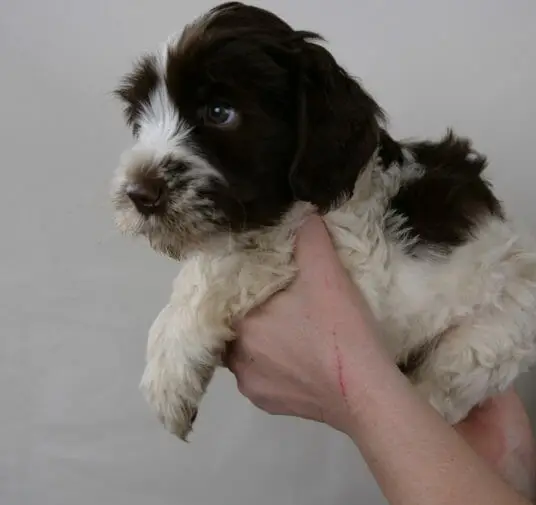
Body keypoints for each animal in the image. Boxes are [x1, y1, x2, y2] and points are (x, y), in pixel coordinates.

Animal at [111, 1, 536, 440]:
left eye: (219, 112)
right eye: (140, 117)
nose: (139, 194)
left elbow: (217, 267)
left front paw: (169, 371)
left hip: (491, 334)